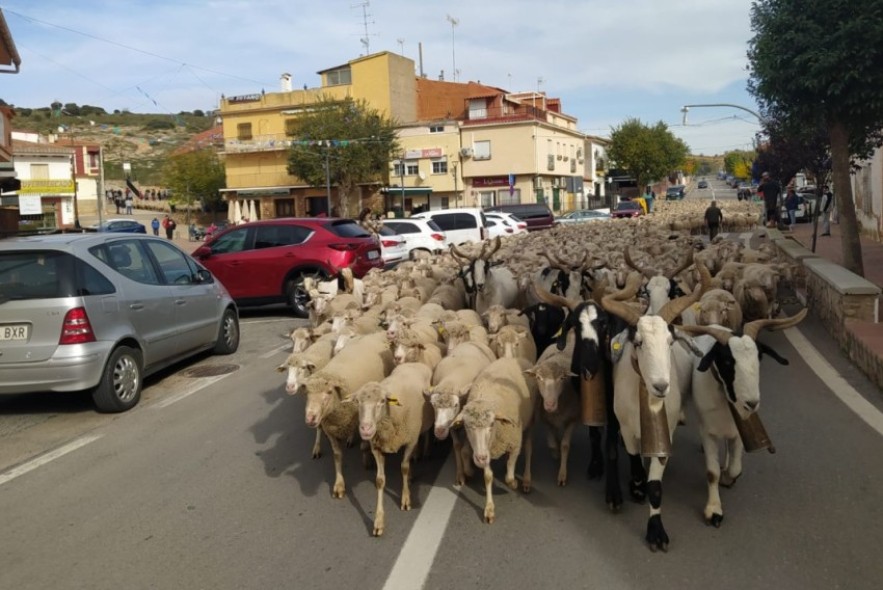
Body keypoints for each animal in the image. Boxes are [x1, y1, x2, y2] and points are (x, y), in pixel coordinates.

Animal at [301, 331, 395, 498]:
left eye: (329, 392)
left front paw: (367, 460)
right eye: (307, 394)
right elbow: (337, 455)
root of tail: (377, 332)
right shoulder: (330, 430)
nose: (310, 418)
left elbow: (365, 445)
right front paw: (339, 484)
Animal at [348, 363, 434, 536]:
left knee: (426, 433)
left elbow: (404, 467)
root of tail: (414, 362)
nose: (365, 429)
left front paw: (406, 499)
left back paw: (425, 452)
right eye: (357, 402)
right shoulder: (376, 447)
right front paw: (378, 522)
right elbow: (380, 481)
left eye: (382, 401)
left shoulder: (410, 440)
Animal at [425, 341, 498, 485]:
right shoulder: (452, 423)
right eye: (433, 405)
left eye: (455, 405)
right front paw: (460, 474)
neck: (451, 380)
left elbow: (467, 447)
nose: (439, 431)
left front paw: (468, 471)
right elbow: (457, 445)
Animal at [452, 356, 539, 524]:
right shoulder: (487, 450)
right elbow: (488, 477)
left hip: (531, 422)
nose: (480, 458)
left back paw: (526, 480)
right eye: (467, 426)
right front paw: (489, 509)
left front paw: (514, 483)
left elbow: (509, 476)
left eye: (492, 424)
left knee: (529, 448)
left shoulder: (514, 444)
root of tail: (511, 357)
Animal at [677, 309, 807, 527]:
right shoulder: (708, 431)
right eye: (727, 361)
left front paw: (728, 478)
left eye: (759, 356)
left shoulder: (738, 430)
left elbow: (735, 467)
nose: (751, 403)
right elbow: (712, 472)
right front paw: (714, 510)